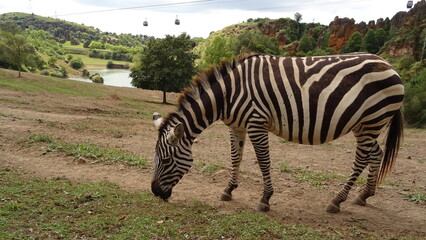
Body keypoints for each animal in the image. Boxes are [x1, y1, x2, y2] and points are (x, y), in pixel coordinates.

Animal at [151, 53, 404, 213]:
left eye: (166, 160)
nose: (155, 192)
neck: (227, 95)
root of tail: (389, 65)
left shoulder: (257, 122)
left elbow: (263, 161)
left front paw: (265, 200)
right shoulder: (236, 126)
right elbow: (235, 158)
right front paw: (228, 190)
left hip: (372, 120)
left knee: (361, 159)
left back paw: (336, 201)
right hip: (365, 125)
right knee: (376, 153)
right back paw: (363, 195)